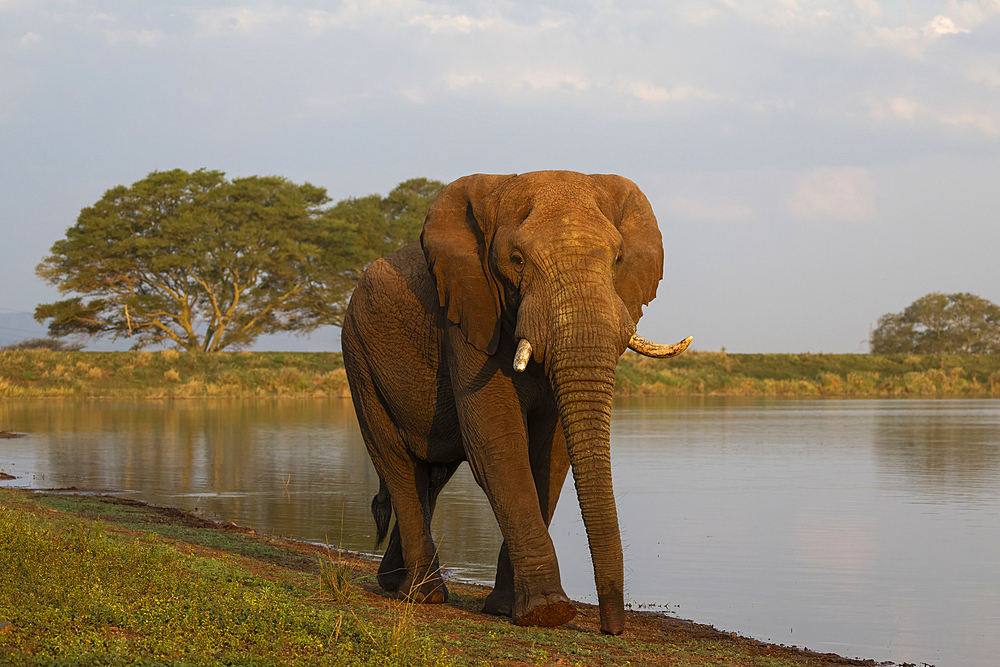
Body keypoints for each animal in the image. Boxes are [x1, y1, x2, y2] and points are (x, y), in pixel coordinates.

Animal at [340, 170, 692, 636]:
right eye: (517, 259)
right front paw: (547, 612)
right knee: (396, 462)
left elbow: (552, 454)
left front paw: (509, 609)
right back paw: (425, 596)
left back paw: (394, 584)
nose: (611, 628)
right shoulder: (468, 317)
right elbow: (498, 442)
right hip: (358, 356)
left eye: (617, 259)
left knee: (429, 477)